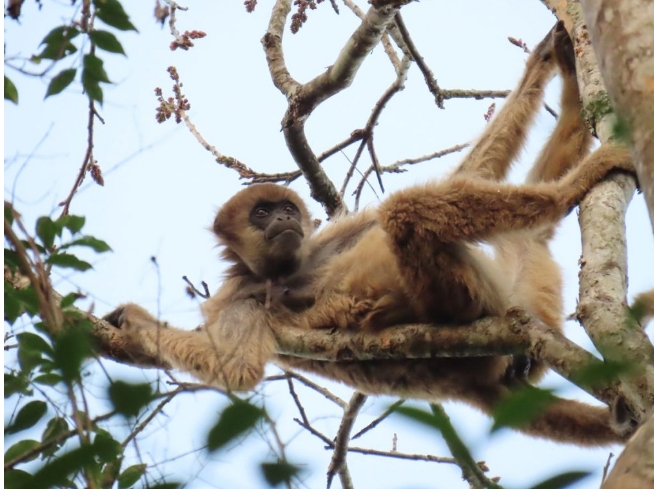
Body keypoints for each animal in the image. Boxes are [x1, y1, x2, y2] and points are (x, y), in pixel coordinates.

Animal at [106, 25, 636, 446]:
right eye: (260, 213)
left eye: (285, 209)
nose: (282, 221)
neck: (281, 274)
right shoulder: (237, 296)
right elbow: (236, 370)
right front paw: (133, 323)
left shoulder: (317, 243)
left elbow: (468, 172)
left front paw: (545, 57)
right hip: (470, 298)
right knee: (412, 212)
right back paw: (570, 187)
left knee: (501, 230)